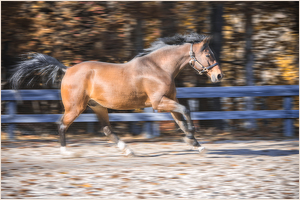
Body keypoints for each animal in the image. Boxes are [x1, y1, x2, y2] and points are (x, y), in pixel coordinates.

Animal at [9, 32, 223, 156]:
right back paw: (66, 152)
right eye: (208, 54)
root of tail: (67, 69)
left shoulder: (169, 101)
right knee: (62, 124)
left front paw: (195, 143)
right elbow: (186, 110)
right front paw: (192, 137)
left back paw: (128, 150)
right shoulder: (159, 103)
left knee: (107, 130)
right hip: (75, 107)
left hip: (98, 107)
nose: (218, 75)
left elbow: (180, 120)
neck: (159, 67)